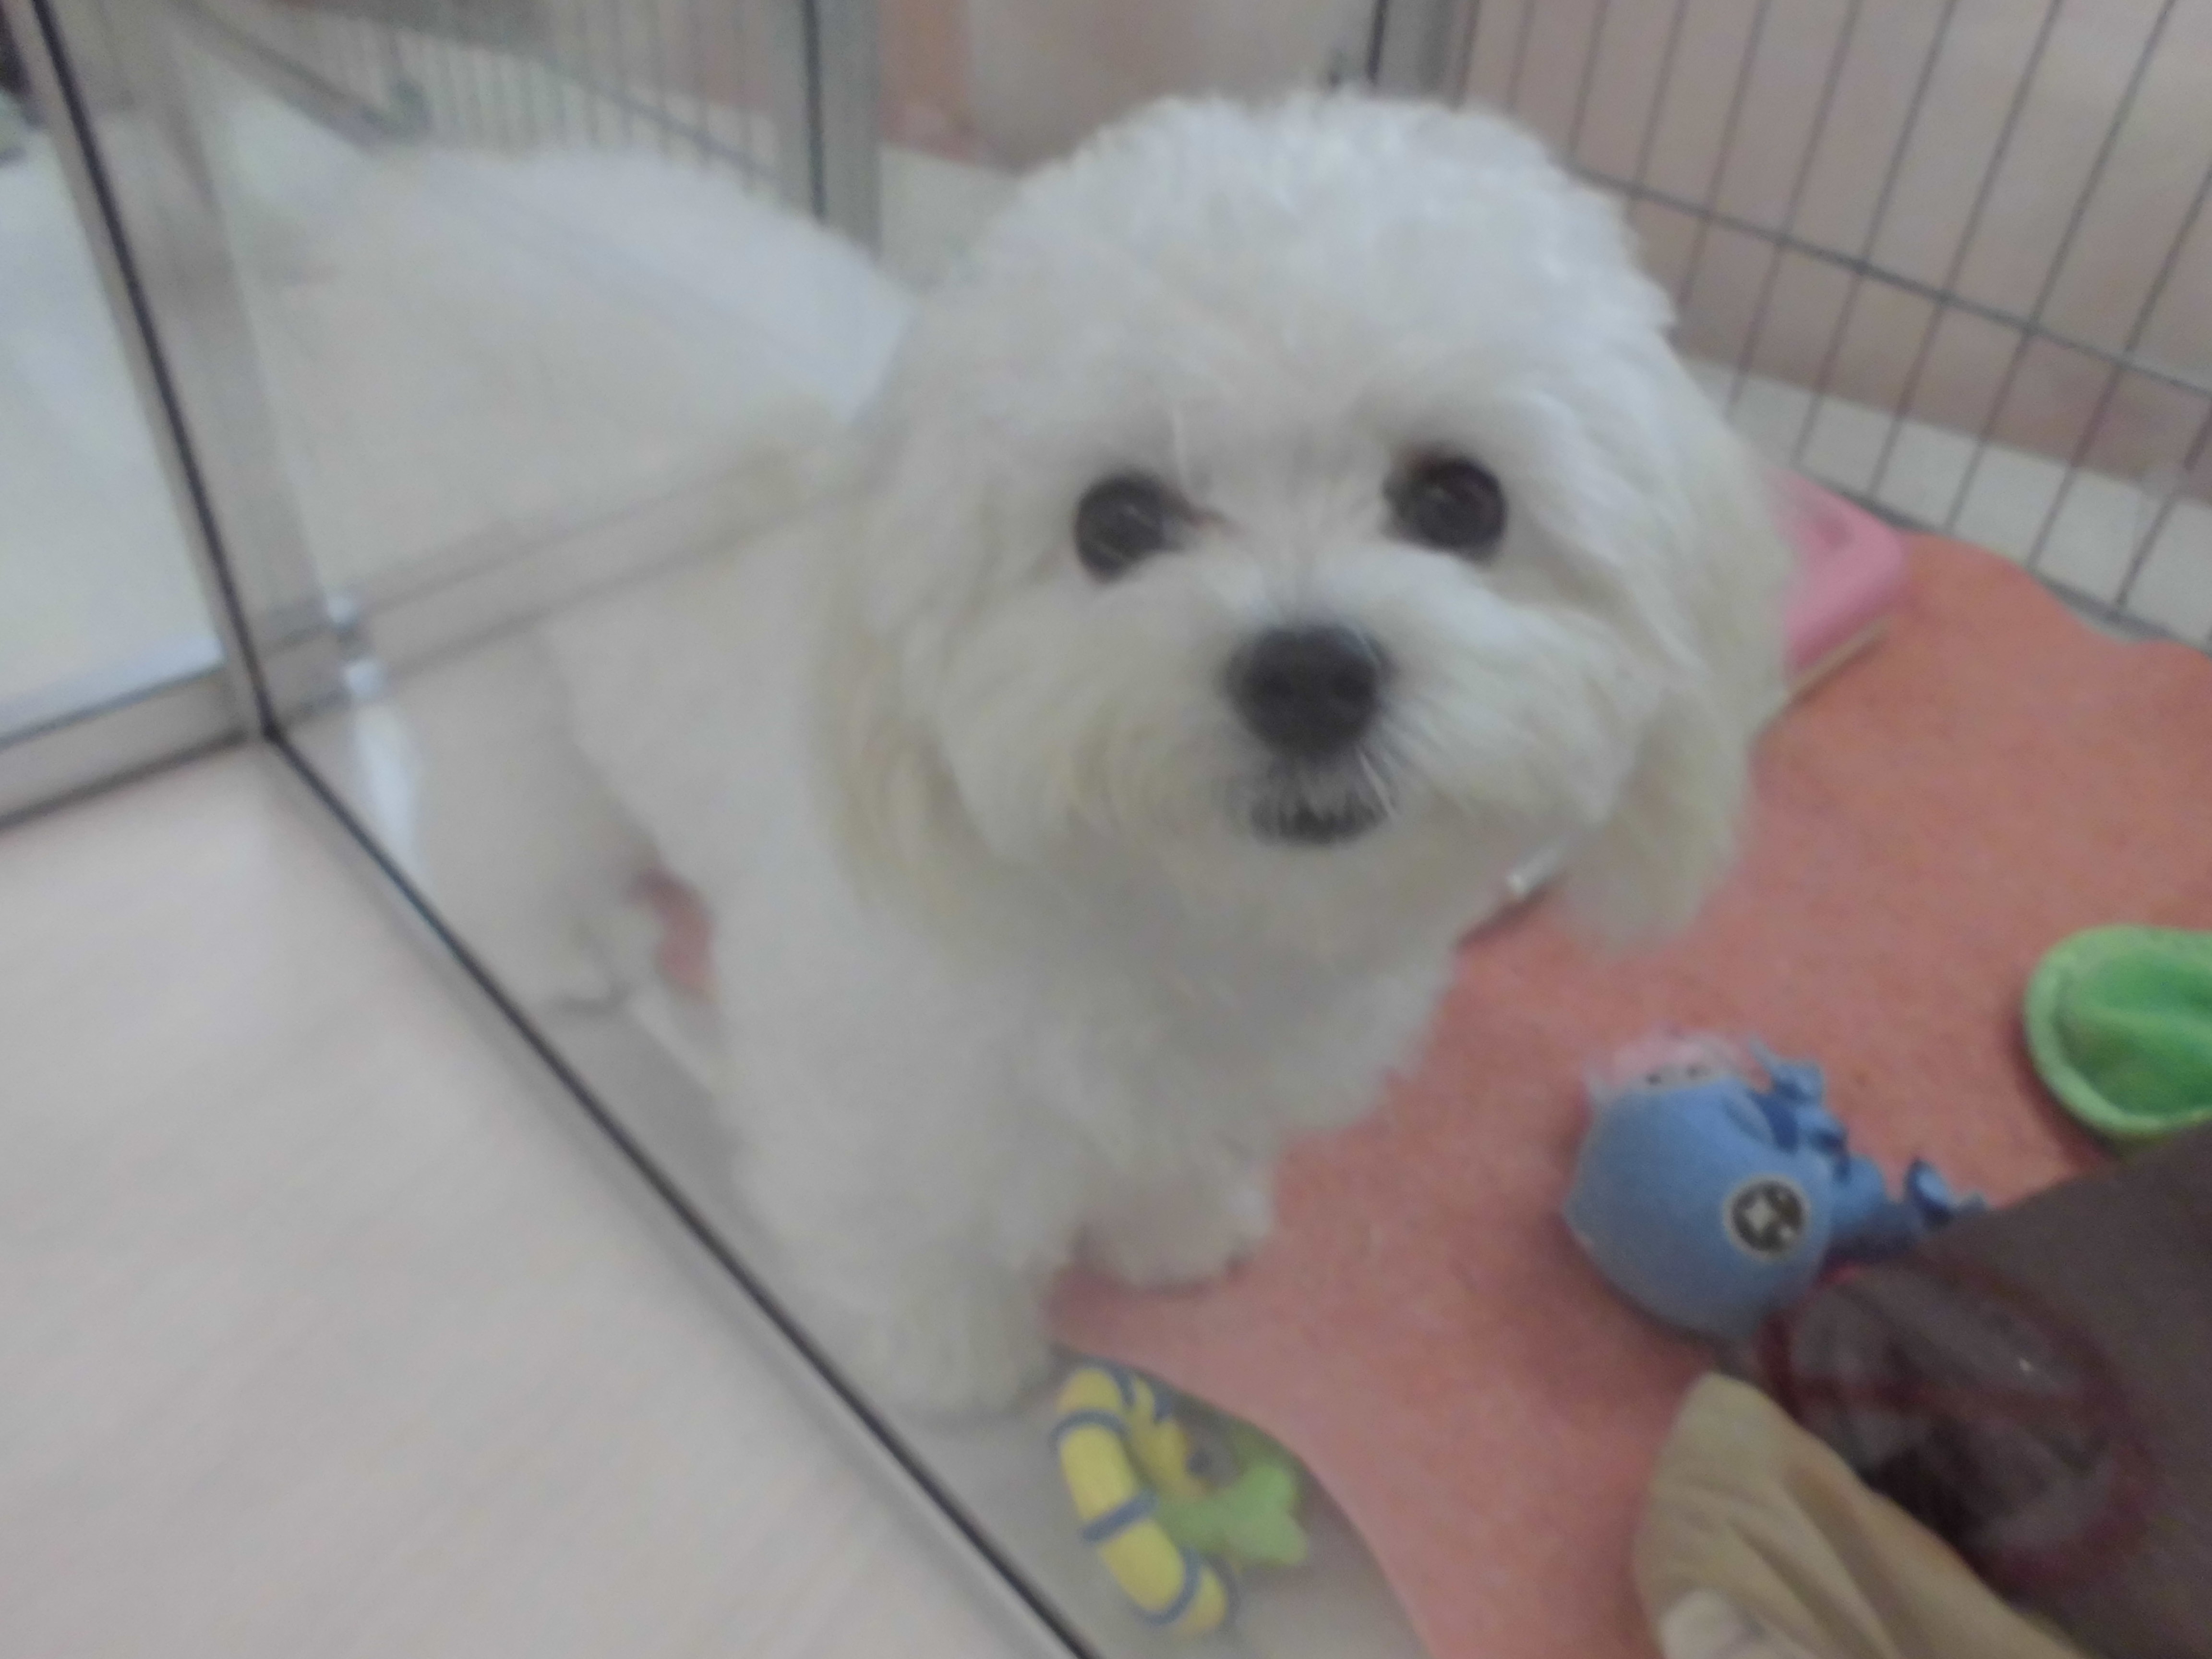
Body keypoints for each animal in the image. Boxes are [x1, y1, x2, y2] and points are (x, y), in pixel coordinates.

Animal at [503, 93, 1791, 1415]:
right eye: (1114, 522)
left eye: (1461, 500)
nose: (1309, 673)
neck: (1184, 920)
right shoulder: (860, 1056)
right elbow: (899, 1212)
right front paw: (944, 1358)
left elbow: (1172, 1152)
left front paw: (1174, 1226)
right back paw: (564, 941)